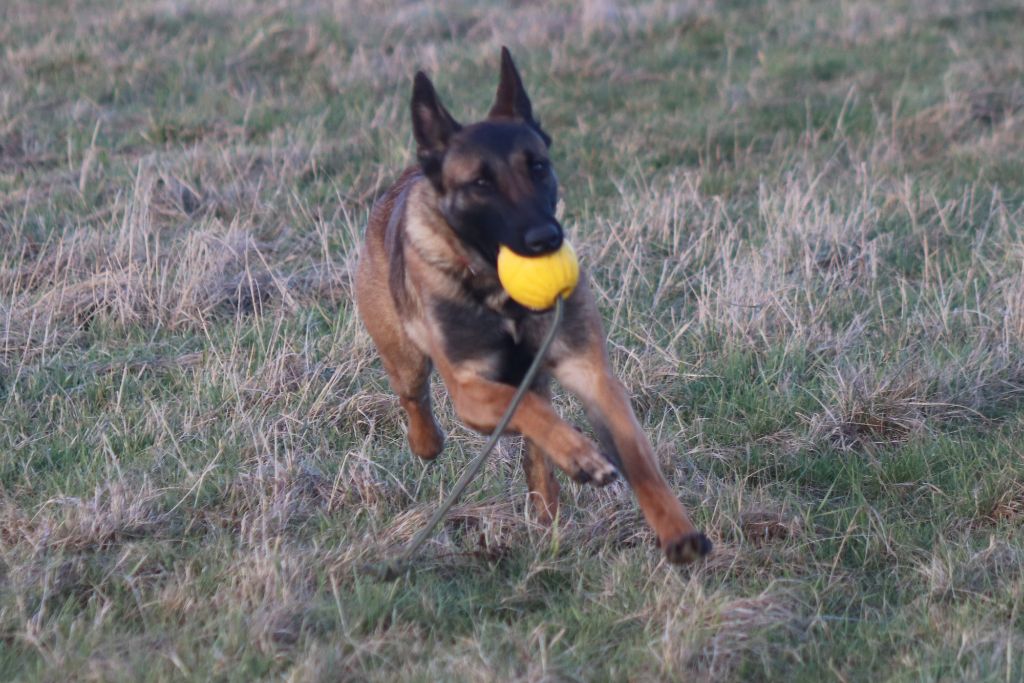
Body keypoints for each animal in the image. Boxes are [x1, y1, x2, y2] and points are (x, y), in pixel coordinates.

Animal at [354, 46, 712, 561]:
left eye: (538, 167)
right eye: (481, 184)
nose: (546, 239)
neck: (502, 296)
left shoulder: (591, 374)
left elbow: (638, 456)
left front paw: (675, 529)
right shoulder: (469, 389)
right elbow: (521, 405)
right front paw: (581, 454)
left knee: (538, 457)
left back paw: (547, 511)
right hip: (404, 356)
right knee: (415, 398)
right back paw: (429, 443)